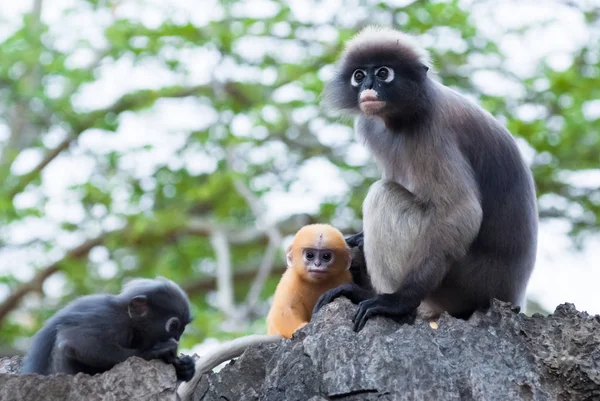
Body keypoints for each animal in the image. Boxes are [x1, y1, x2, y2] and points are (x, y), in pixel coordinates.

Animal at [19, 276, 195, 380]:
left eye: (182, 330)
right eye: (173, 327)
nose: (177, 339)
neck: (128, 317)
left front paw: (186, 367)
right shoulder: (110, 321)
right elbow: (76, 343)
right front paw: (153, 352)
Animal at [314, 25, 540, 332]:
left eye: (383, 73)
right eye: (359, 75)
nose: (368, 86)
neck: (403, 115)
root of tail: (513, 297)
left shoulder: (433, 131)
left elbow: (460, 211)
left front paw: (398, 300)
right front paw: (359, 237)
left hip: (466, 284)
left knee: (383, 195)